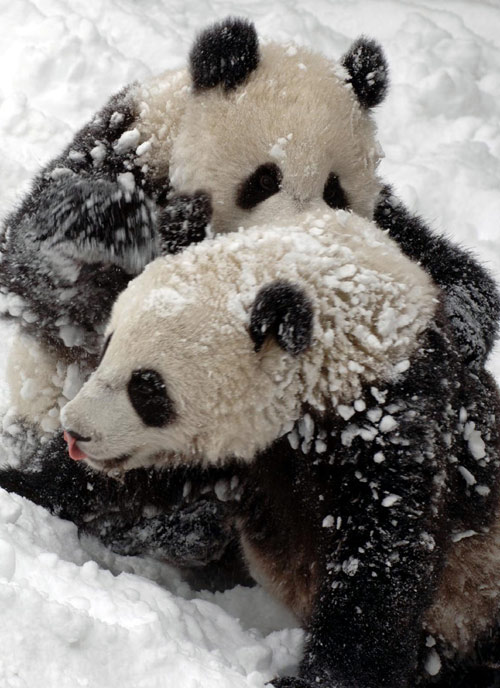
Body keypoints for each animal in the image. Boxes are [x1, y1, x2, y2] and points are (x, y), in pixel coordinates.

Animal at [60, 206, 500, 688]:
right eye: (106, 347)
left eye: (147, 387)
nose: (75, 430)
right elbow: (122, 486)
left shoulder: (392, 411)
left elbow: (384, 552)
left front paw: (320, 677)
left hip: (477, 590)